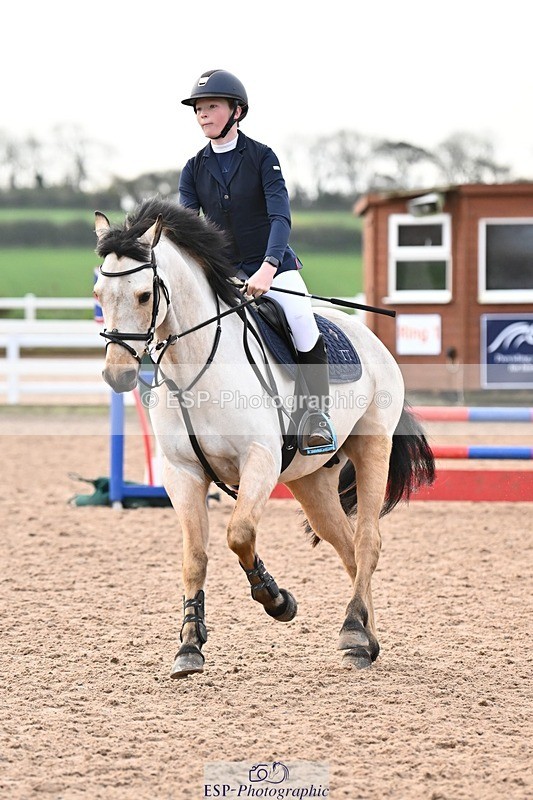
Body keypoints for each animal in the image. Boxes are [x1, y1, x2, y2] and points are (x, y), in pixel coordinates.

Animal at [93, 196, 435, 678]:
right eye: (98, 296)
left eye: (144, 294)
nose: (118, 375)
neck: (196, 364)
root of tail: (370, 338)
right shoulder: (181, 473)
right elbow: (195, 556)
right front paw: (189, 646)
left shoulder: (260, 460)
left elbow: (239, 534)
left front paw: (276, 599)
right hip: (311, 480)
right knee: (346, 546)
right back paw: (366, 638)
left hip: (373, 448)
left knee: (368, 541)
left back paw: (353, 632)